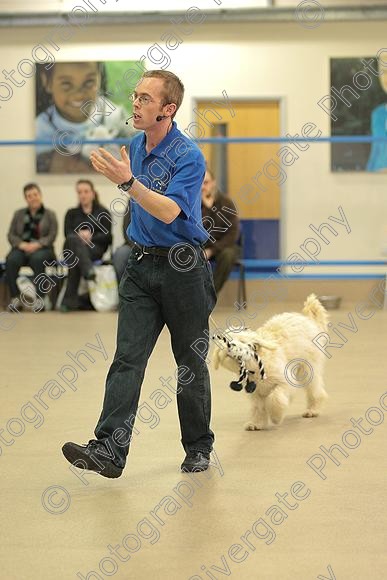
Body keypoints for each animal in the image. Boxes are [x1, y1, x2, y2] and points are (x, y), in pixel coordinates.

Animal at [214, 296, 328, 428]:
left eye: (242, 340)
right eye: (225, 340)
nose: (230, 346)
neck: (254, 367)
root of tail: (308, 320)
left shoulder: (285, 382)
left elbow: (275, 398)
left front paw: (276, 417)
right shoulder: (255, 393)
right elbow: (258, 407)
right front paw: (256, 423)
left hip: (308, 369)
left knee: (316, 390)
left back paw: (312, 410)